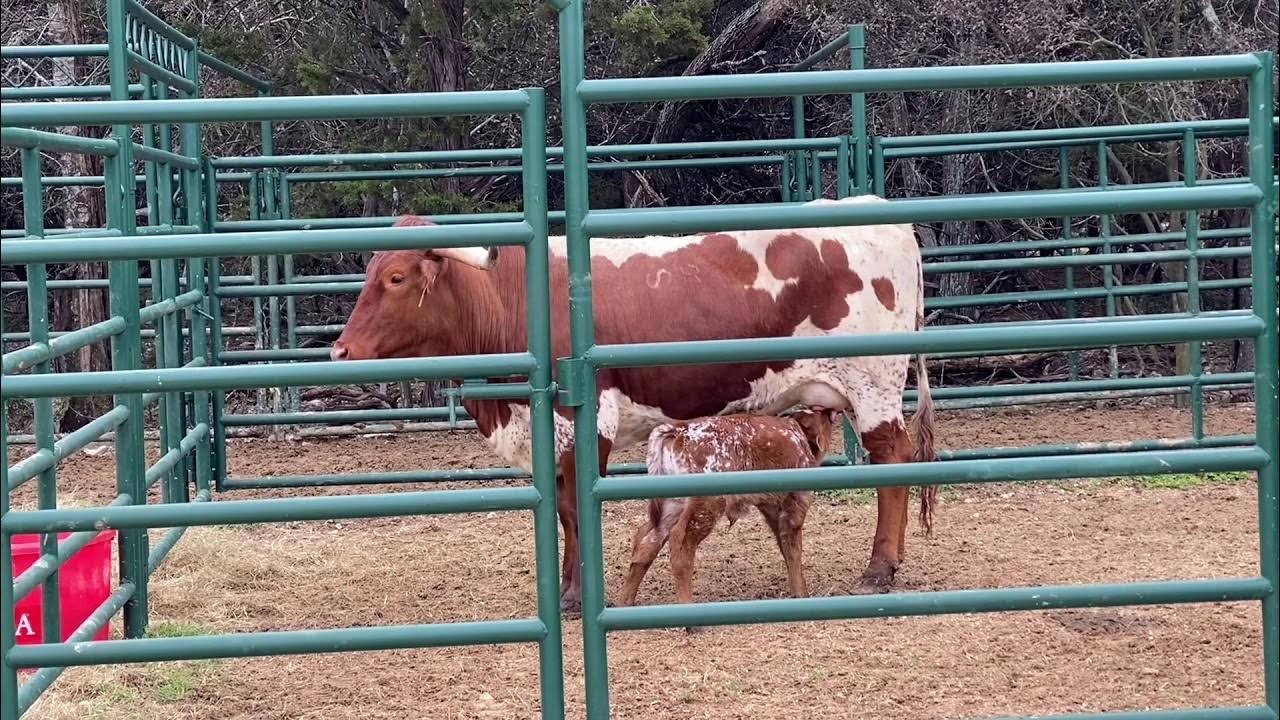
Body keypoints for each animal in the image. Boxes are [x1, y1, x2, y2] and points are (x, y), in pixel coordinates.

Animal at [616, 409, 840, 616]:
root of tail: (678, 430)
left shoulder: (771, 508)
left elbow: (785, 545)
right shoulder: (795, 503)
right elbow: (794, 549)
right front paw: (802, 594)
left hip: (672, 506)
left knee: (647, 541)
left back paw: (626, 602)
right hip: (704, 507)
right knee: (680, 543)